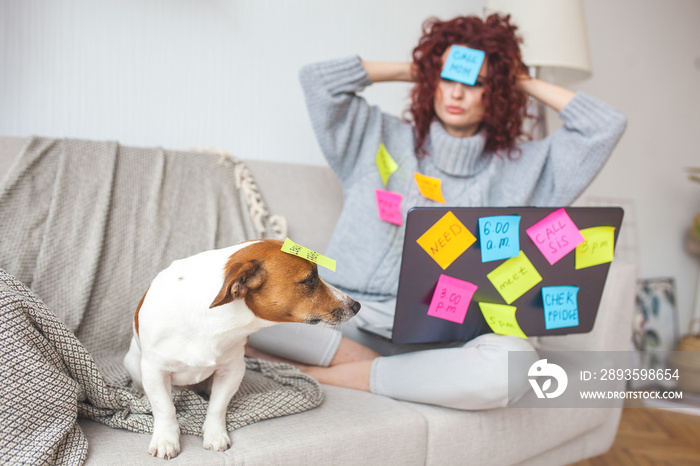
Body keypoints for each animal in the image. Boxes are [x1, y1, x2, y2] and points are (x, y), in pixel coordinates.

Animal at [122, 240, 358, 458]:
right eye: (310, 280)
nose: (356, 305)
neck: (213, 320)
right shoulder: (155, 371)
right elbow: (165, 408)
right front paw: (166, 439)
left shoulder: (232, 370)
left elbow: (217, 406)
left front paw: (215, 434)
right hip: (134, 363)